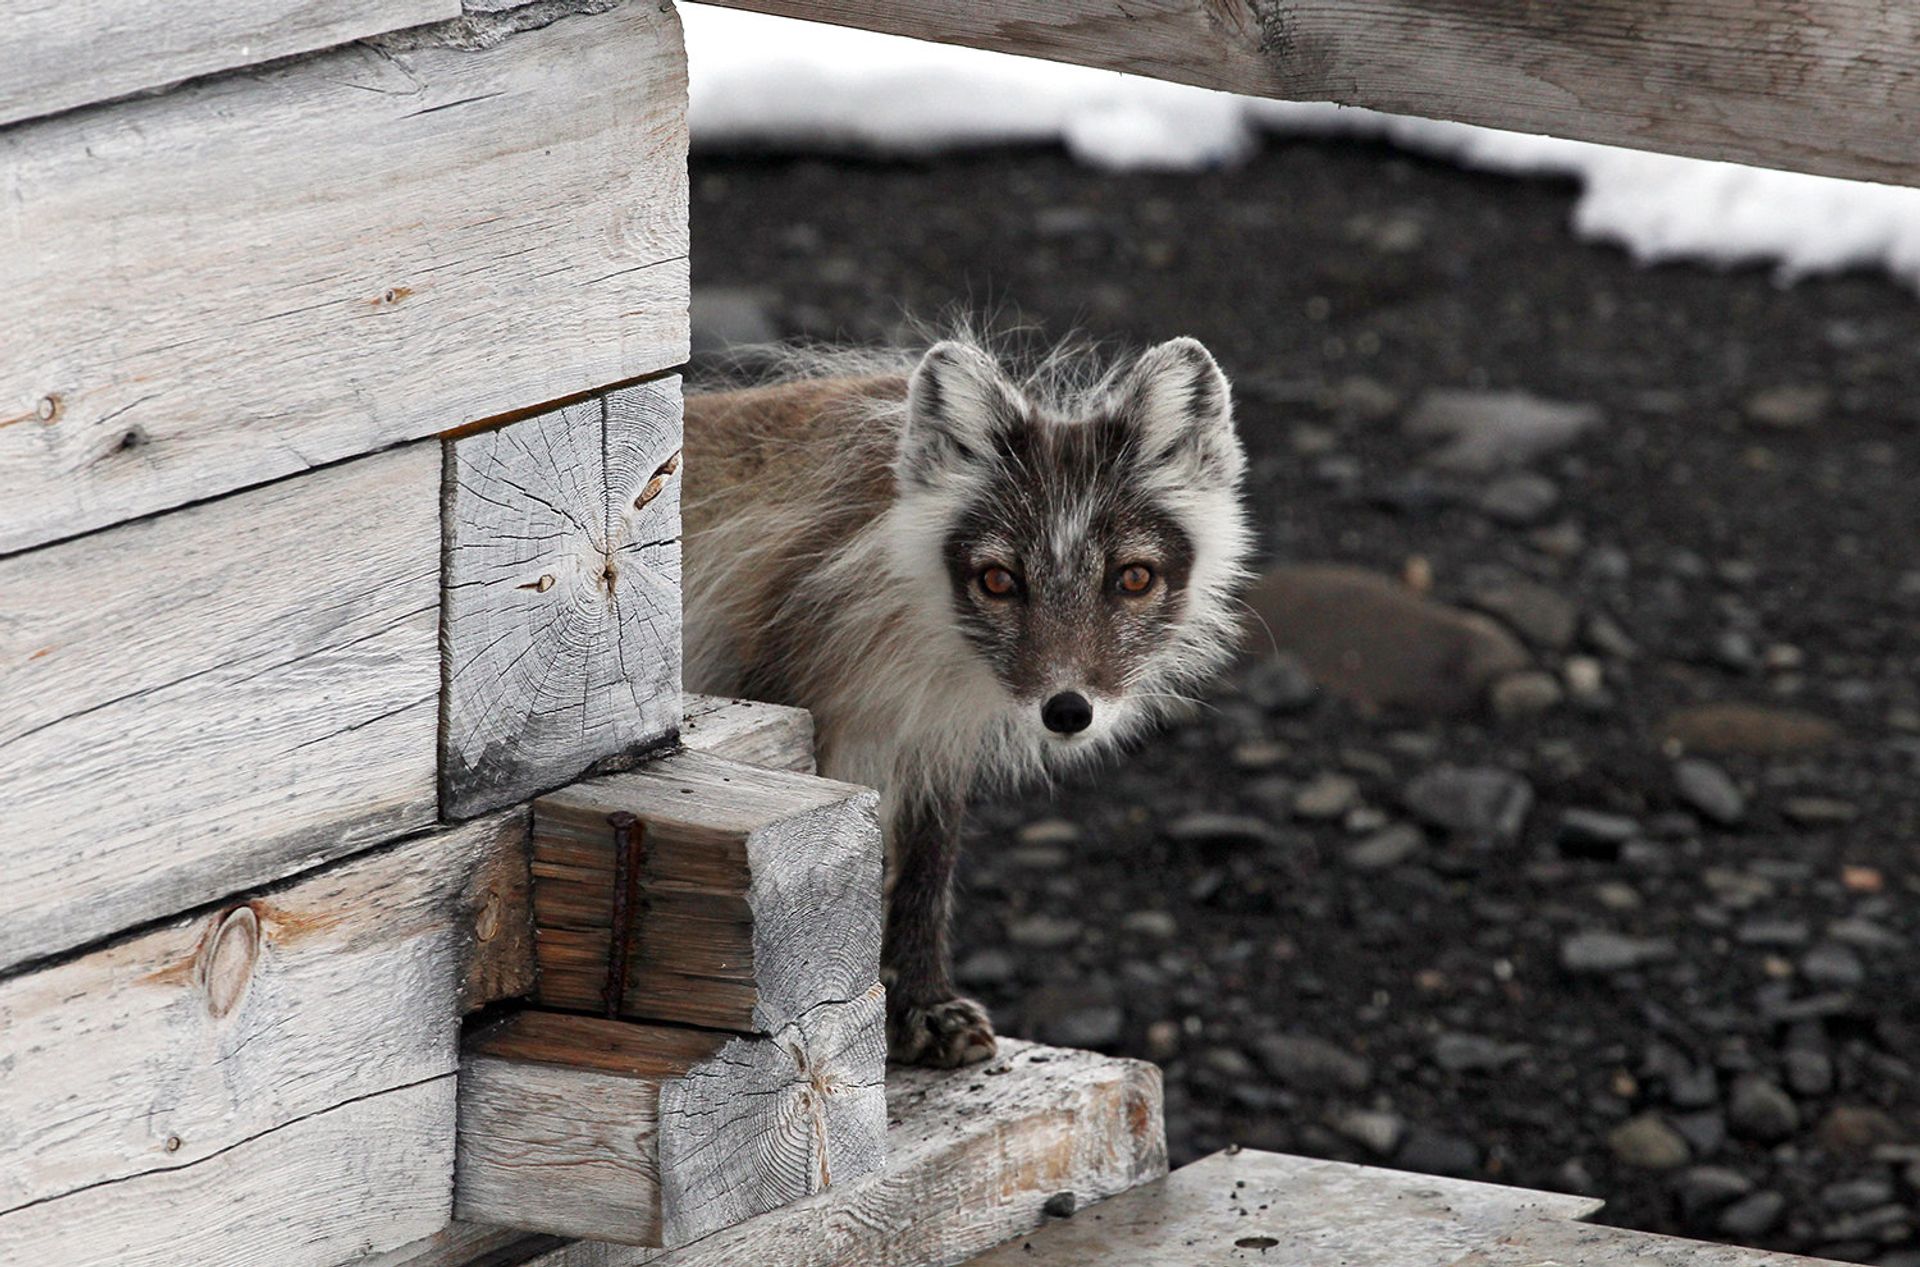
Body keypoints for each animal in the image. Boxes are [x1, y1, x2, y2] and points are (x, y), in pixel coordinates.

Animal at [680, 334, 1253, 1066]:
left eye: (1133, 577)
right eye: (998, 580)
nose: (1068, 710)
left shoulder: (931, 742)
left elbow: (927, 872)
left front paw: (922, 1006)